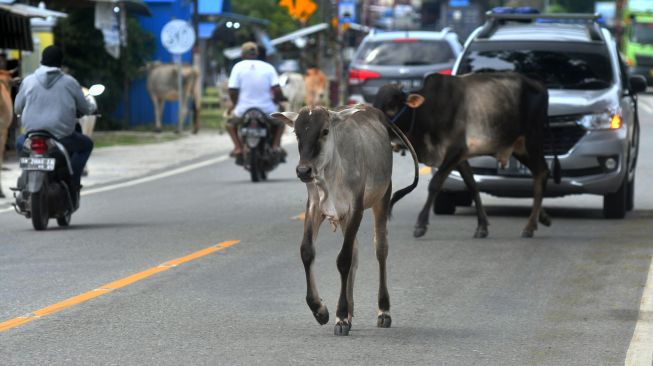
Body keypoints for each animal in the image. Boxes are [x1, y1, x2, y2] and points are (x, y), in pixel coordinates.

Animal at [272, 104, 418, 336]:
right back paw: (350, 313)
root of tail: (373, 110)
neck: (332, 172)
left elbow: (343, 259)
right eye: (296, 133)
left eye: (324, 131)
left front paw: (339, 317)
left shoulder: (355, 209)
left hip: (382, 197)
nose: (303, 170)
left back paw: (383, 311)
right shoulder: (314, 206)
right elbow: (307, 251)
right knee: (356, 251)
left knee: (380, 249)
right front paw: (321, 311)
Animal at [374, 72, 556, 239]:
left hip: (531, 141)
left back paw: (530, 226)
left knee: (542, 172)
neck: (428, 111)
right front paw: (482, 226)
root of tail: (540, 85)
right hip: (520, 148)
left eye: (391, 104)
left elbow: (435, 183)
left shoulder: (455, 151)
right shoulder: (460, 158)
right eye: (375, 103)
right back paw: (542, 219)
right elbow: (473, 185)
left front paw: (421, 225)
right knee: (539, 174)